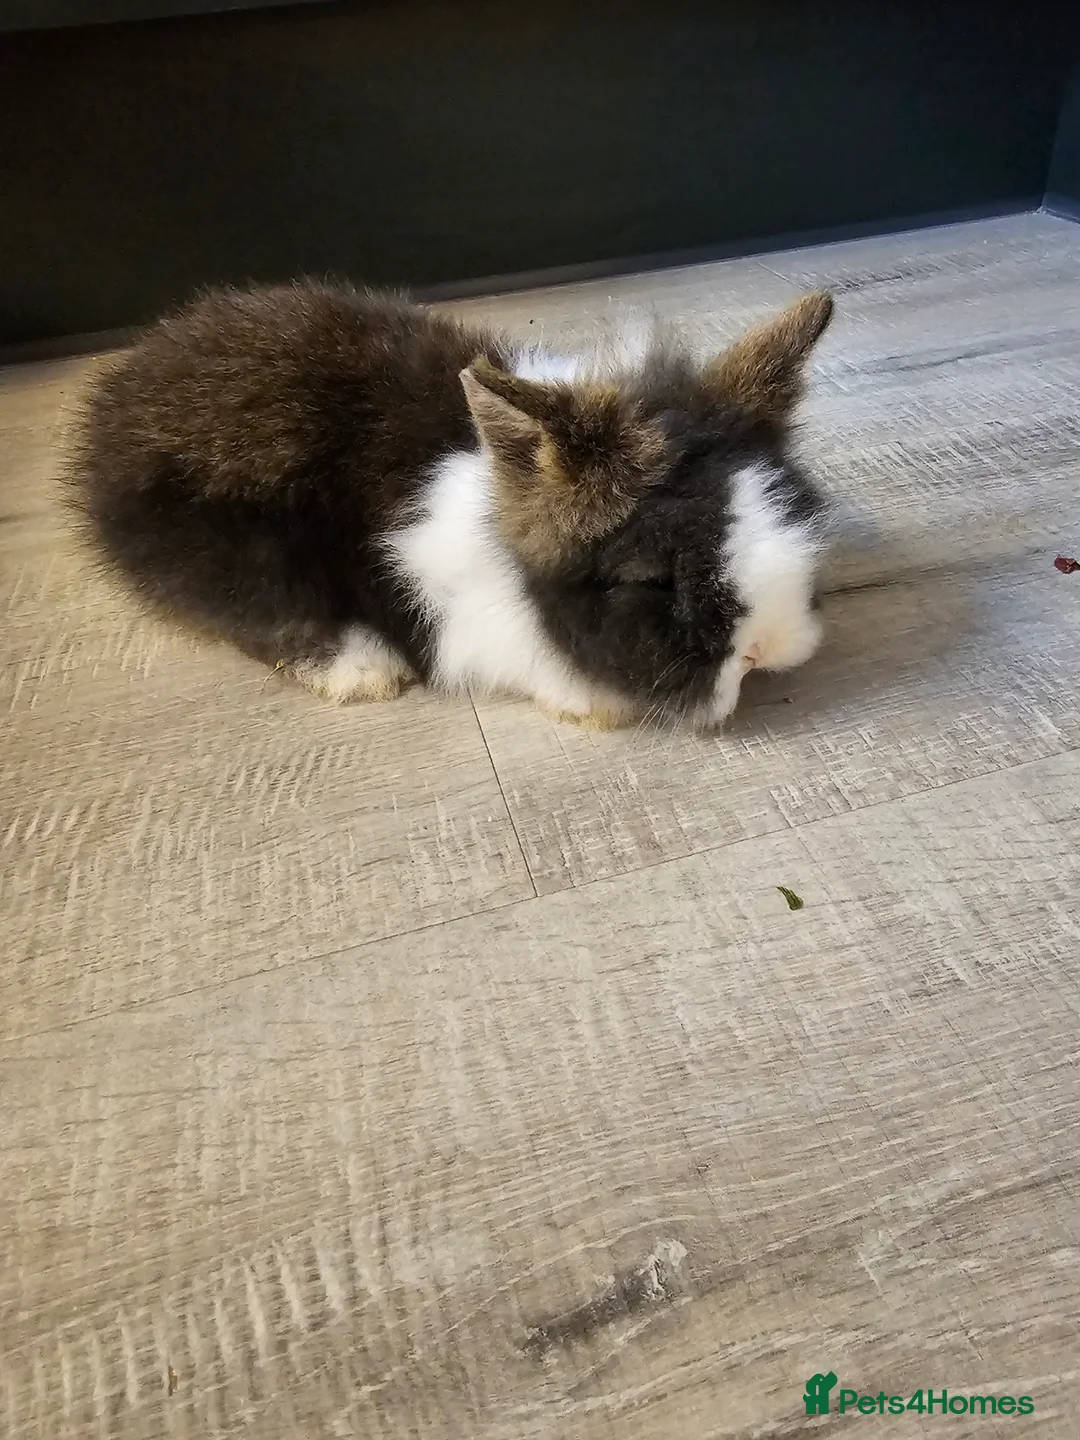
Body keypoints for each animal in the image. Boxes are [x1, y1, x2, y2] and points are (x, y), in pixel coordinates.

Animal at [68, 279, 834, 729]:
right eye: (650, 579)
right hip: (228, 549)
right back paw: (364, 672)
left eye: (796, 510)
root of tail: (114, 401)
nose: (765, 650)